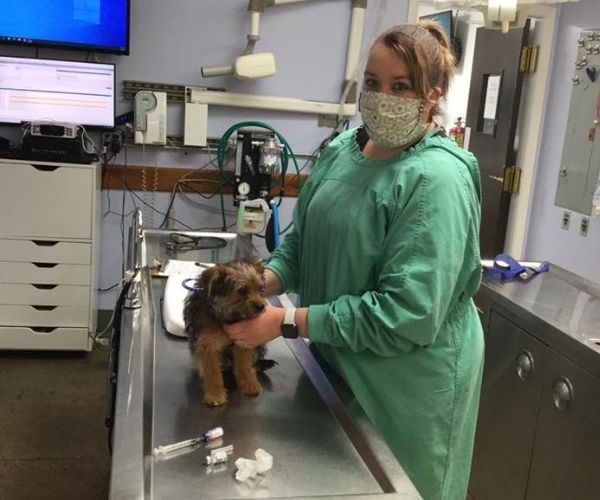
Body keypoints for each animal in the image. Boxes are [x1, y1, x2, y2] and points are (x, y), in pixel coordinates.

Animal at [183, 262, 268, 406]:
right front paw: (215, 393)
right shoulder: (207, 344)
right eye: (242, 291)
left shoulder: (244, 339)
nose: (261, 307)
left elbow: (244, 365)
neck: (227, 316)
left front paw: (249, 383)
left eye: (260, 289)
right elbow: (212, 370)